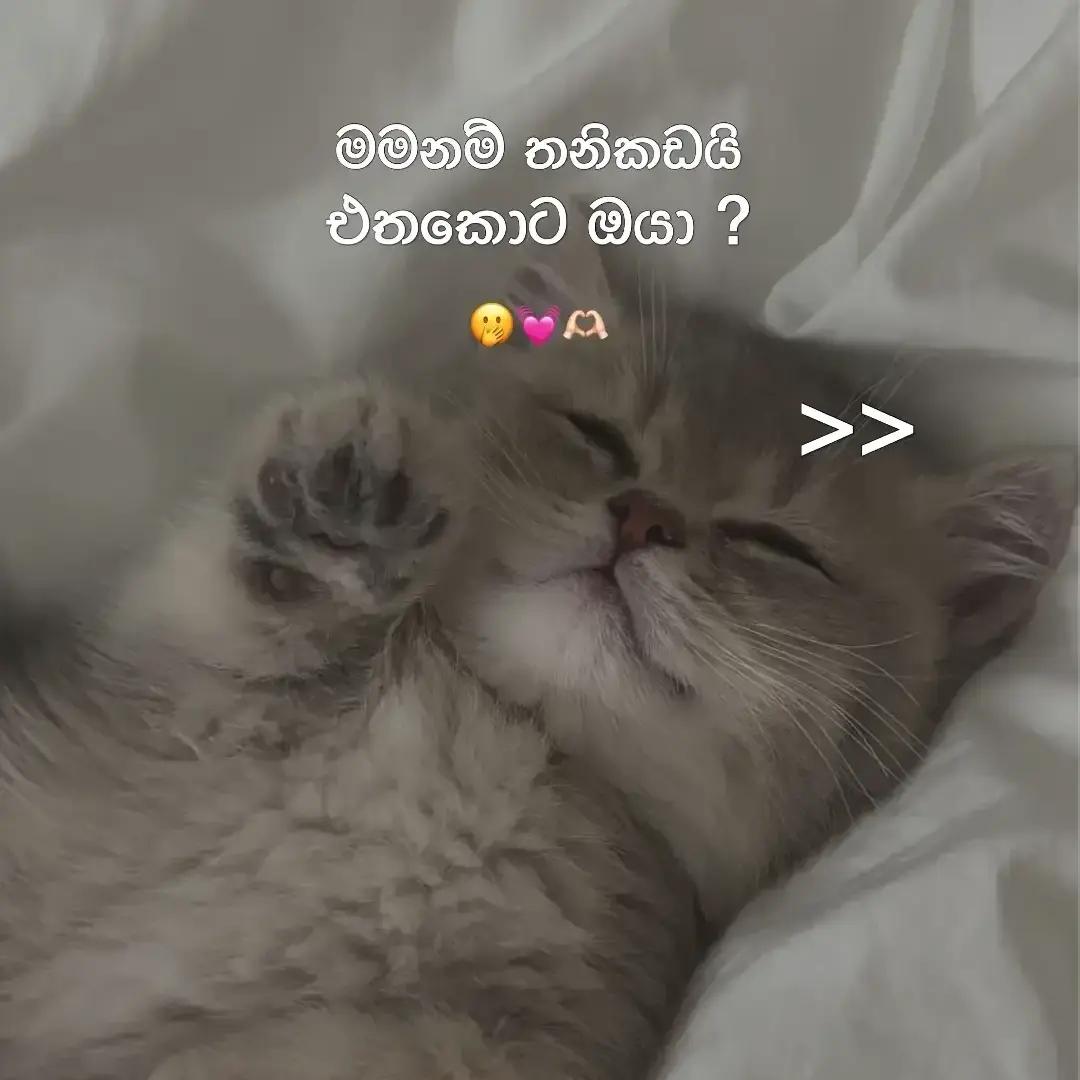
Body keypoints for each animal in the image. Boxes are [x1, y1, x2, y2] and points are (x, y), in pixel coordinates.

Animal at [0, 245, 1074, 1080]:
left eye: (781, 546)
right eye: (597, 437)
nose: (644, 517)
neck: (500, 748)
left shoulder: (505, 1045)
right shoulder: (150, 688)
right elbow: (222, 604)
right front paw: (334, 514)